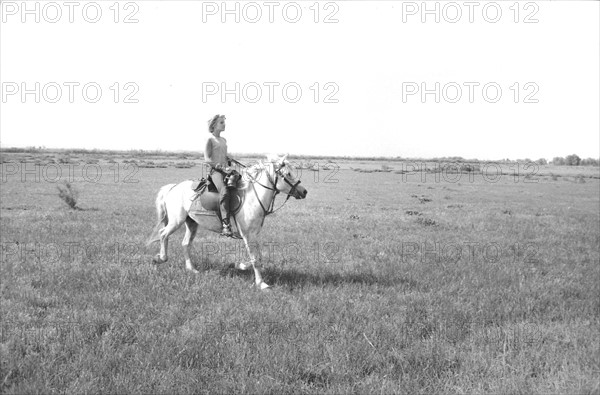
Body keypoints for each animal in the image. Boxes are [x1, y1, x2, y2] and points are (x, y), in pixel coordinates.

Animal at [146, 155, 310, 290]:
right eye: (288, 174)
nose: (304, 191)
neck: (252, 197)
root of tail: (172, 187)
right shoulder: (247, 235)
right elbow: (255, 258)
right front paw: (261, 283)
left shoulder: (254, 234)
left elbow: (257, 257)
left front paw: (241, 266)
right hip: (176, 221)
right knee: (163, 234)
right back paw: (159, 258)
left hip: (191, 223)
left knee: (185, 243)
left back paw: (191, 269)